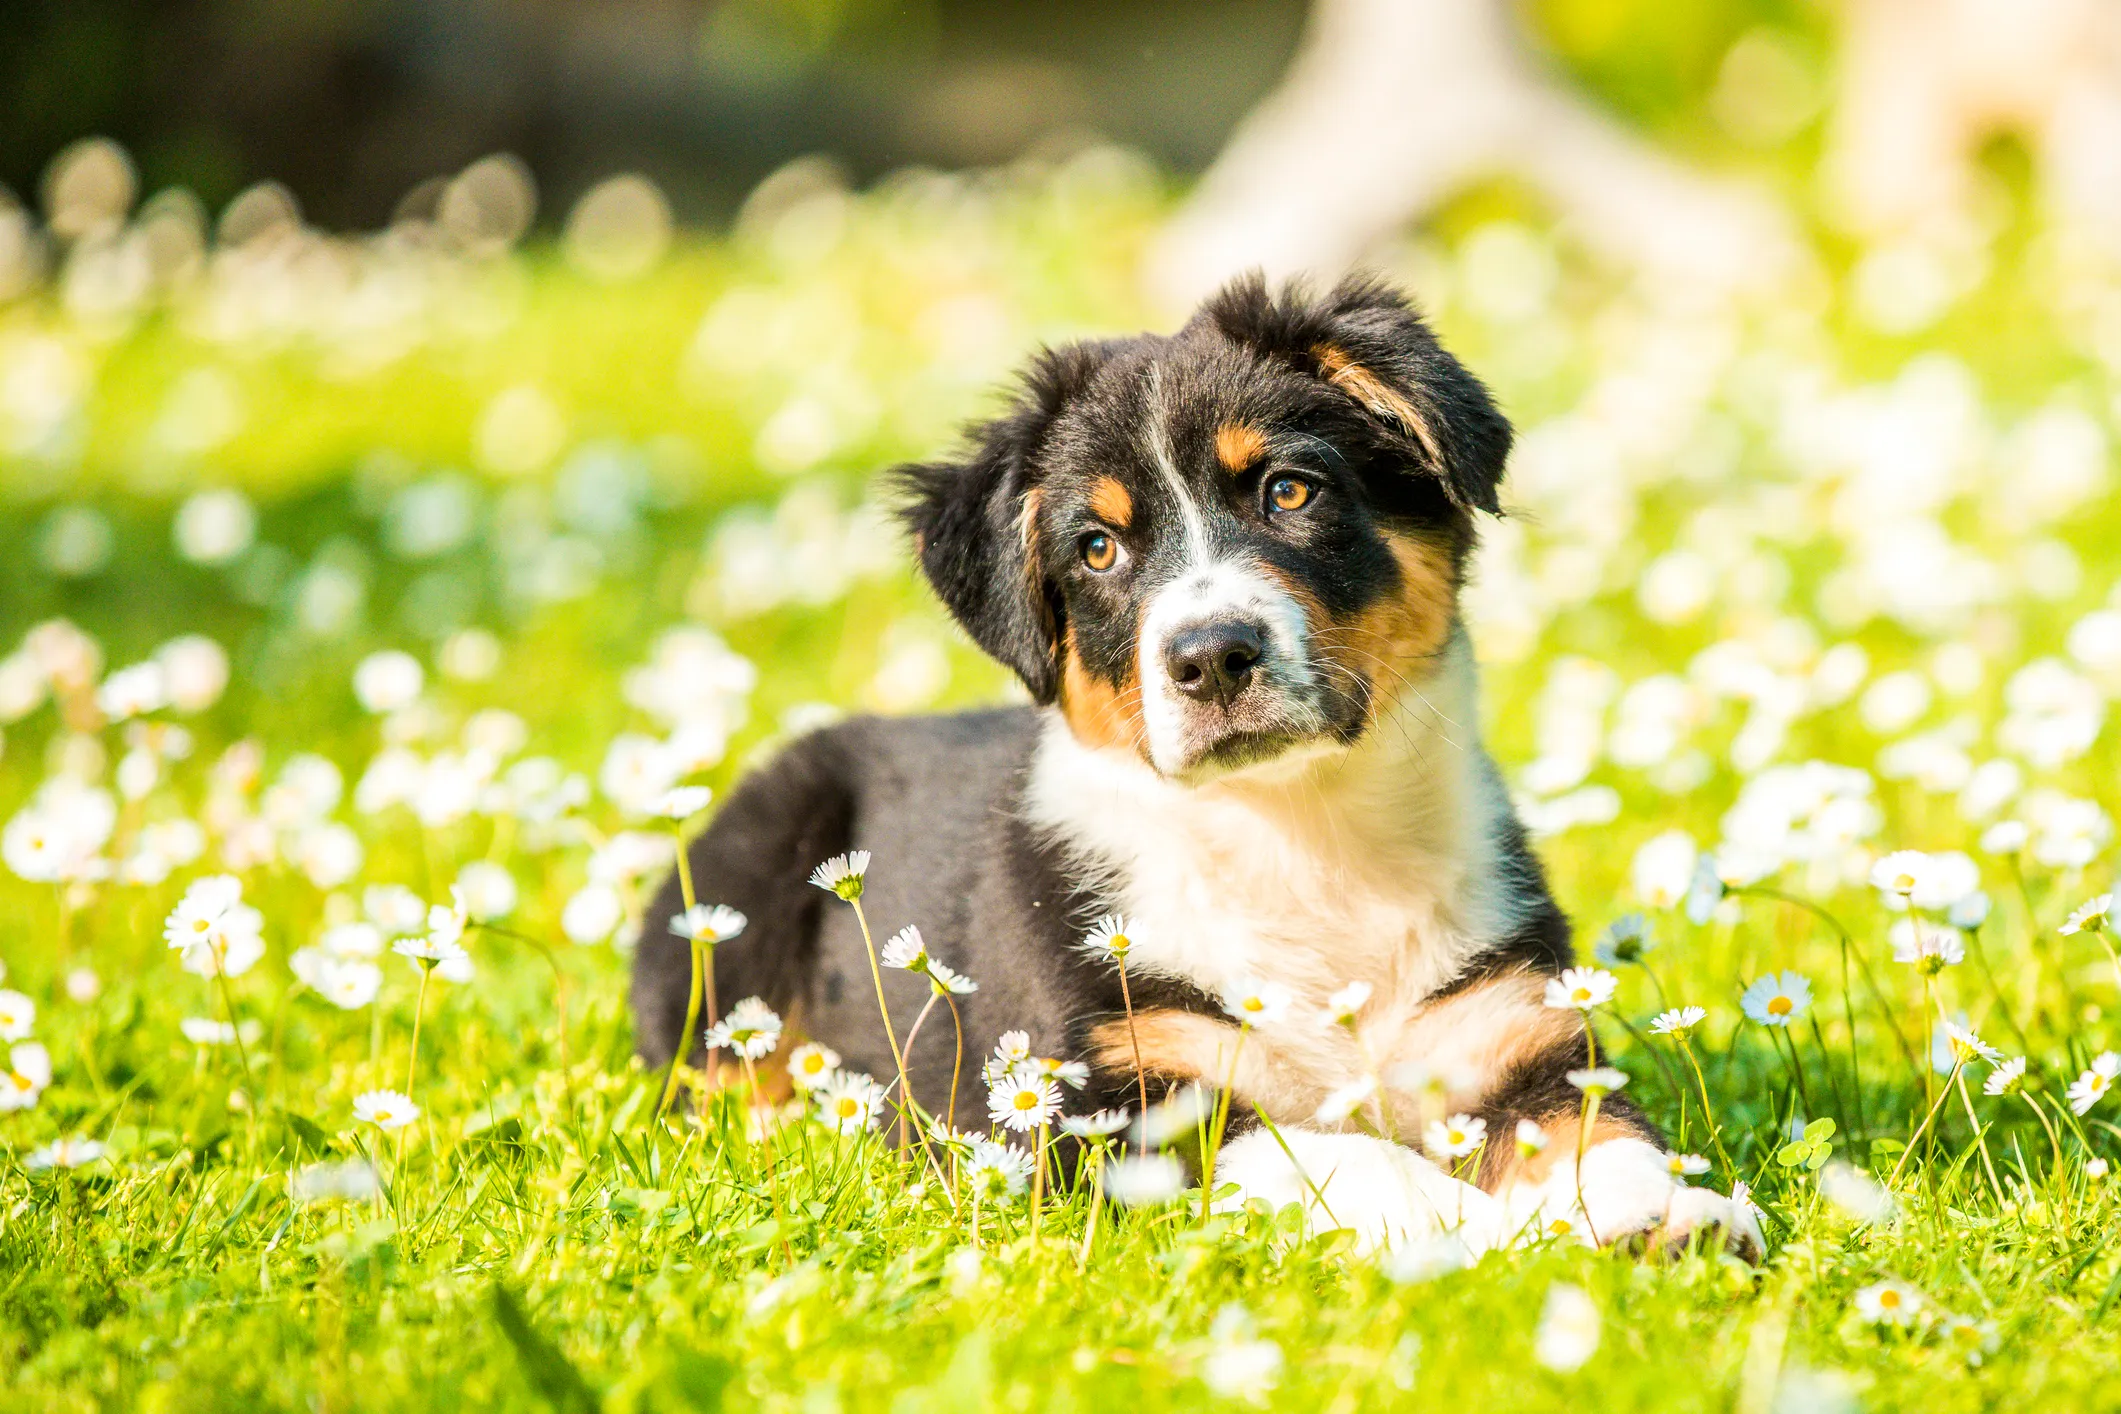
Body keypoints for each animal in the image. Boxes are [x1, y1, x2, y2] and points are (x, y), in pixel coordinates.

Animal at [627, 275, 1756, 1263]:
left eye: (1289, 491)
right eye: (1096, 549)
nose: (1211, 656)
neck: (1300, 834)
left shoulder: (1519, 1036)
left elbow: (1598, 1133)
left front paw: (1665, 1212)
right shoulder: (1110, 1106)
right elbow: (1335, 1152)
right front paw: (1478, 1232)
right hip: (734, 924)